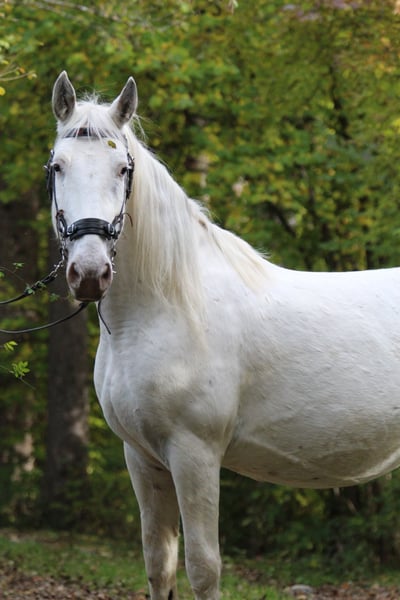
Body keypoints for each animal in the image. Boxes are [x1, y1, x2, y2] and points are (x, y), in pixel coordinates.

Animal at [49, 71, 400, 600]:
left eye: (123, 169)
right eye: (57, 167)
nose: (89, 273)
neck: (166, 308)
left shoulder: (194, 453)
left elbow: (203, 567)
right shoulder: (142, 458)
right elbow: (159, 565)